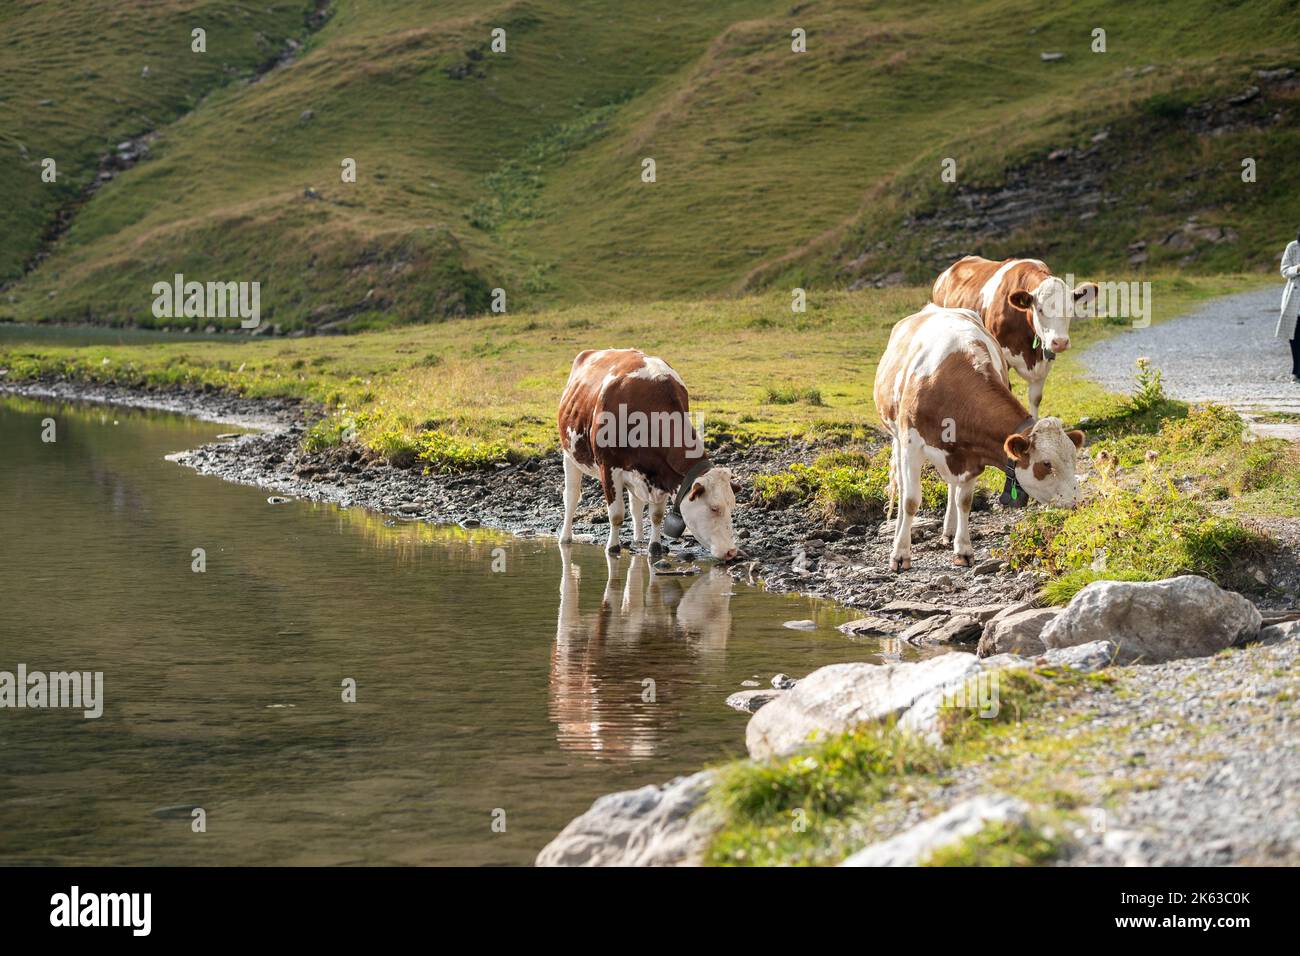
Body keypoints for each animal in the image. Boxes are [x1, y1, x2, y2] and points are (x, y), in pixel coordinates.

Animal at [559, 348, 743, 561]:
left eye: (732, 507)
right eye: (714, 508)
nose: (731, 551)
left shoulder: (661, 474)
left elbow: (656, 515)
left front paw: (654, 547)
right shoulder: (609, 468)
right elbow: (616, 515)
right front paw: (612, 548)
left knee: (636, 505)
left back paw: (639, 539)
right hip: (569, 454)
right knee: (571, 497)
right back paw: (565, 537)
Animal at [873, 306, 1086, 572]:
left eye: (1074, 460)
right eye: (1046, 464)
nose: (1078, 501)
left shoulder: (972, 456)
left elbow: (964, 501)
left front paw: (963, 550)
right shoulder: (912, 445)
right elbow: (911, 500)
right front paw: (900, 555)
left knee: (951, 487)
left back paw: (949, 530)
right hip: (897, 439)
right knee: (902, 490)